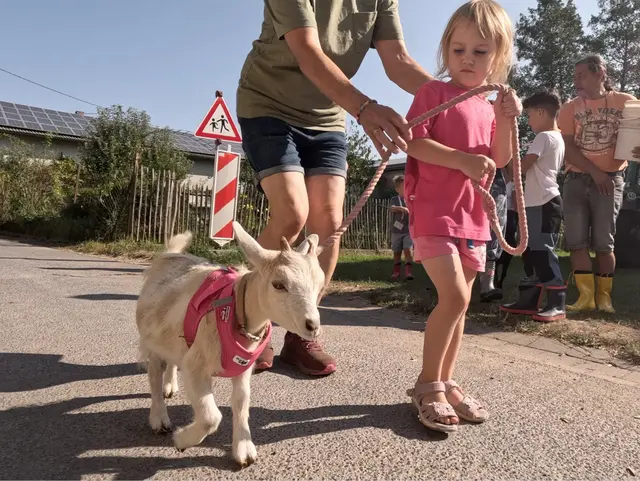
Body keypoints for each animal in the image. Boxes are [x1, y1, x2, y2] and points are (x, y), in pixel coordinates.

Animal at [136, 221, 324, 464]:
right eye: (278, 284)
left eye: (320, 286)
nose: (313, 326)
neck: (235, 310)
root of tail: (169, 255)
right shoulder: (196, 366)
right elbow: (211, 417)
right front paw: (181, 440)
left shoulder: (242, 367)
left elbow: (242, 402)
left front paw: (244, 449)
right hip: (152, 340)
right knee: (154, 374)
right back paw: (159, 419)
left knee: (172, 361)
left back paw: (170, 386)